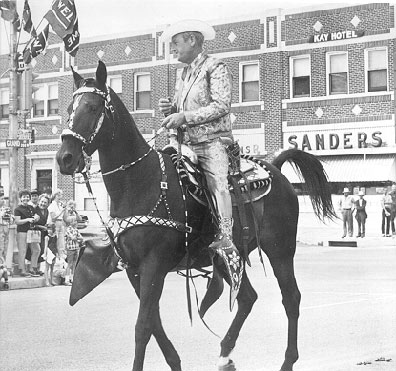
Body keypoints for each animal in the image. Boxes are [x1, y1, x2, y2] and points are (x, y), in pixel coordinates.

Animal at [55, 61, 334, 371]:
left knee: (291, 298)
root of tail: (275, 168)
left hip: (280, 250)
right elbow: (153, 322)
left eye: (92, 107)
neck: (141, 182)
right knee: (248, 297)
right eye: (68, 108)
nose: (65, 157)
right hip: (228, 259)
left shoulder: (153, 265)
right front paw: (175, 362)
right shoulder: (133, 268)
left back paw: (287, 360)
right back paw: (225, 353)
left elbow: (142, 326)